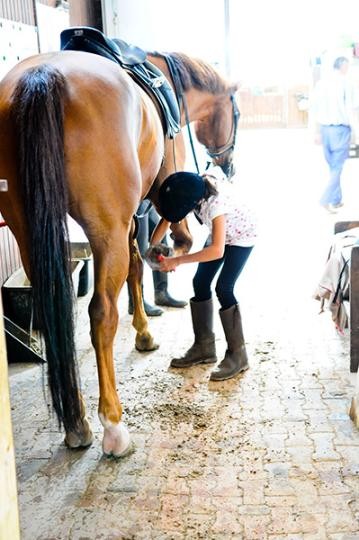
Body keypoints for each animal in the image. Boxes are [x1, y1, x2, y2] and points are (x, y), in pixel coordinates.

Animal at [0, 49, 240, 456]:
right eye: (236, 113)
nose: (229, 164)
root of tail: (41, 77)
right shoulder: (154, 197)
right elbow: (156, 253)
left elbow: (134, 267)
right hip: (104, 230)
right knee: (101, 314)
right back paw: (112, 426)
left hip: (26, 231)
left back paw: (76, 422)